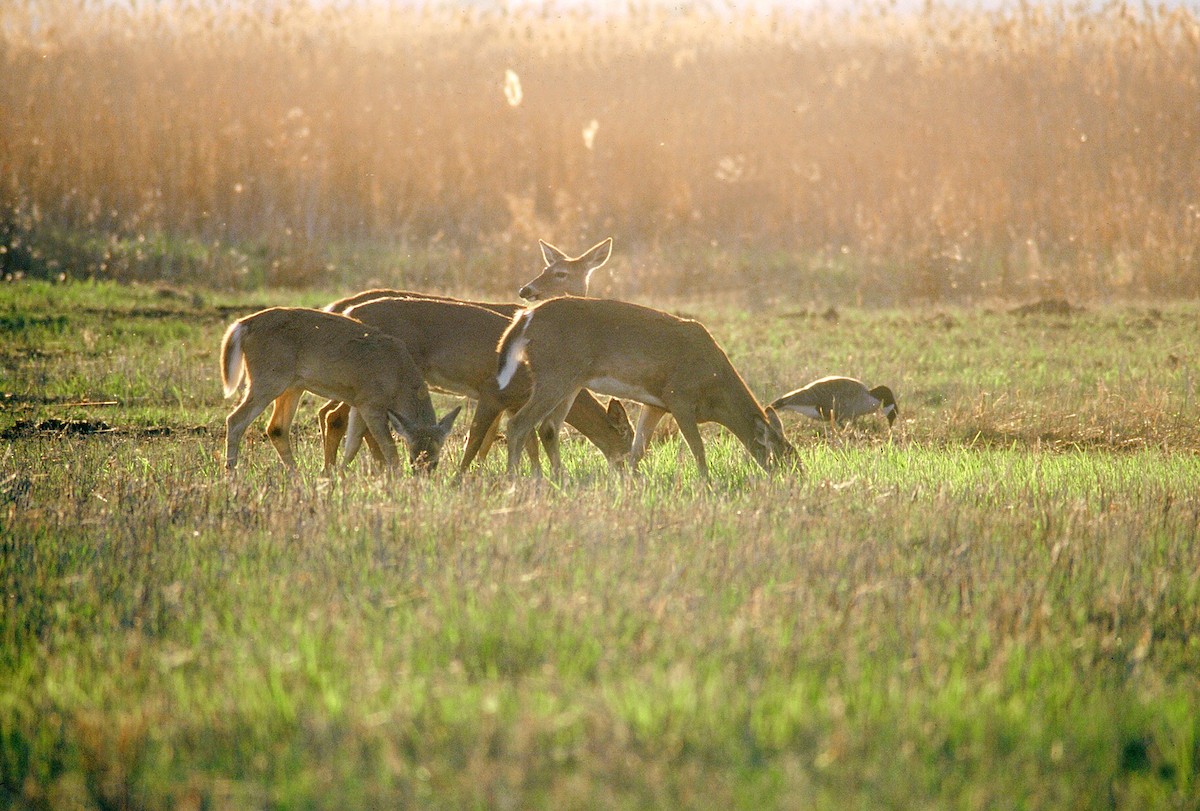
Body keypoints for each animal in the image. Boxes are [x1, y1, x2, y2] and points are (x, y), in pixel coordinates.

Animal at [220, 307, 460, 474]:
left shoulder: (359, 402)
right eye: (413, 459)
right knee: (235, 420)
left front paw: (338, 476)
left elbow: (353, 444)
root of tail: (243, 325)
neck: (399, 378)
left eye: (435, 461)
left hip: (292, 386)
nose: (422, 478)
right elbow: (389, 448)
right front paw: (396, 479)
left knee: (276, 429)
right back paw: (231, 475)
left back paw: (296, 475)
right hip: (267, 379)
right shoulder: (371, 403)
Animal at [496, 297, 796, 480]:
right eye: (784, 456)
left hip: (570, 381)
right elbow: (698, 448)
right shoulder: (679, 397)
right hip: (555, 375)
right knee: (519, 424)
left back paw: (560, 479)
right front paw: (706, 483)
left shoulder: (655, 403)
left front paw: (631, 483)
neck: (715, 387)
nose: (795, 480)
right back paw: (513, 481)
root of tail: (525, 317)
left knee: (548, 428)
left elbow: (637, 450)